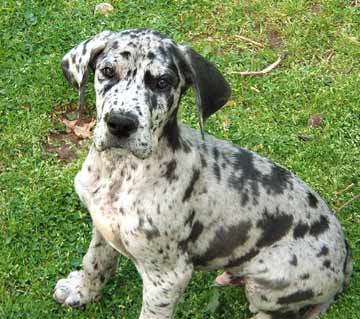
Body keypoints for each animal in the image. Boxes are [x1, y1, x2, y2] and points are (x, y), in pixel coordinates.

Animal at [53, 29, 352, 319]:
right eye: (107, 71)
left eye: (162, 83)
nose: (120, 124)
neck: (120, 170)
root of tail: (346, 260)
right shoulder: (101, 226)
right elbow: (95, 263)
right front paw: (82, 291)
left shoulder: (167, 277)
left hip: (270, 284)